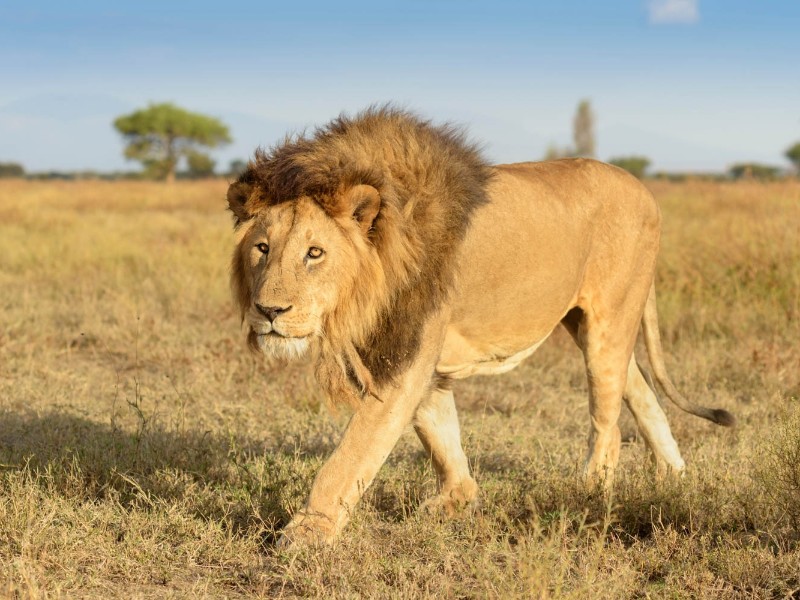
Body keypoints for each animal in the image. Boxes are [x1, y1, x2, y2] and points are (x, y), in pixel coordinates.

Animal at [226, 106, 734, 546]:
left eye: (315, 253)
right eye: (263, 248)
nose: (269, 311)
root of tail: (644, 188)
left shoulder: (405, 356)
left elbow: (351, 454)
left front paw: (305, 533)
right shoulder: (411, 349)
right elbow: (440, 432)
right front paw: (459, 499)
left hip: (608, 321)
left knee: (607, 423)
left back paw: (589, 496)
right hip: (587, 323)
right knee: (640, 389)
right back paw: (673, 476)